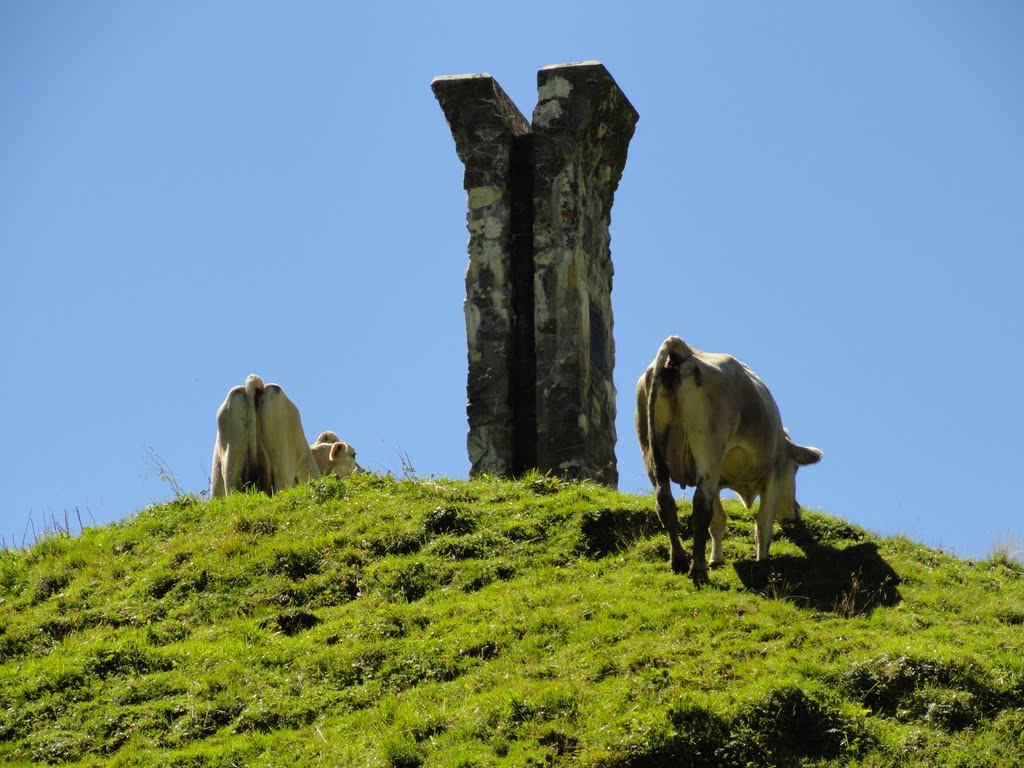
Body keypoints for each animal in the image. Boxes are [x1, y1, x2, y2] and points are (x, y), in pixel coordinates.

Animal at [630, 335, 823, 581]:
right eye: (796, 468)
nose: (795, 513)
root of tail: (682, 347)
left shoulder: (718, 478)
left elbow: (719, 521)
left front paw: (717, 559)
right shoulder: (773, 472)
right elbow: (763, 523)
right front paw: (762, 562)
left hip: (650, 447)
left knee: (665, 501)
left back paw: (679, 560)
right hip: (708, 446)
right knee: (700, 506)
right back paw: (698, 569)